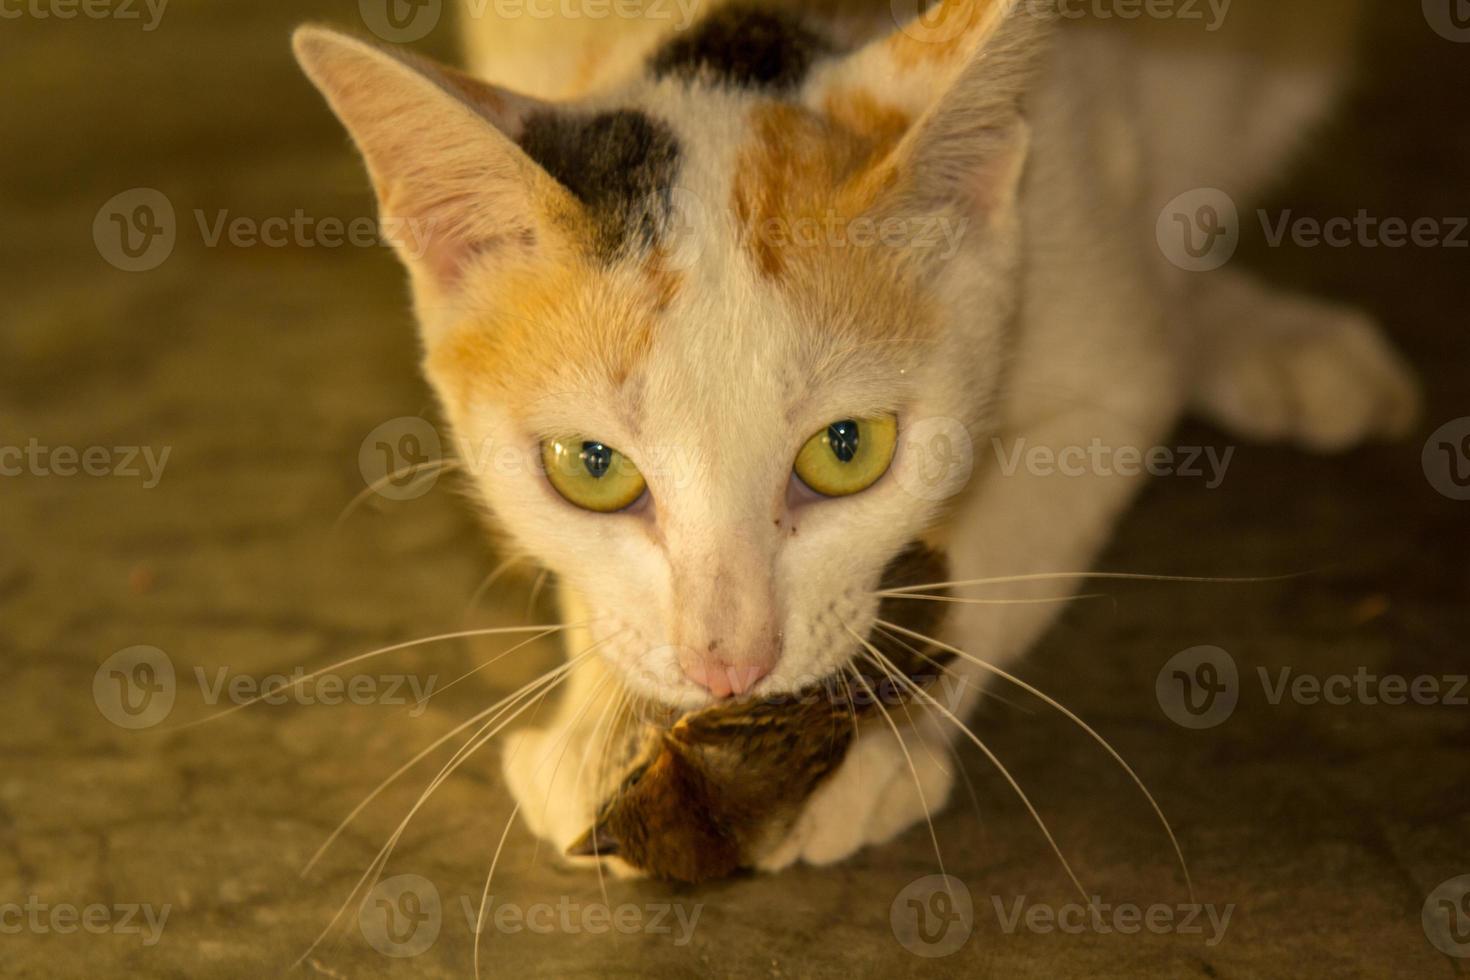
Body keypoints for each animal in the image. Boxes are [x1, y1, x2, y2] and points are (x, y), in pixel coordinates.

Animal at [289, 0, 1422, 875]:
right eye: (592, 468)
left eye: (846, 450)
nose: (728, 668)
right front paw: (606, 722)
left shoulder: (1103, 365)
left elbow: (1003, 551)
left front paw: (878, 745)